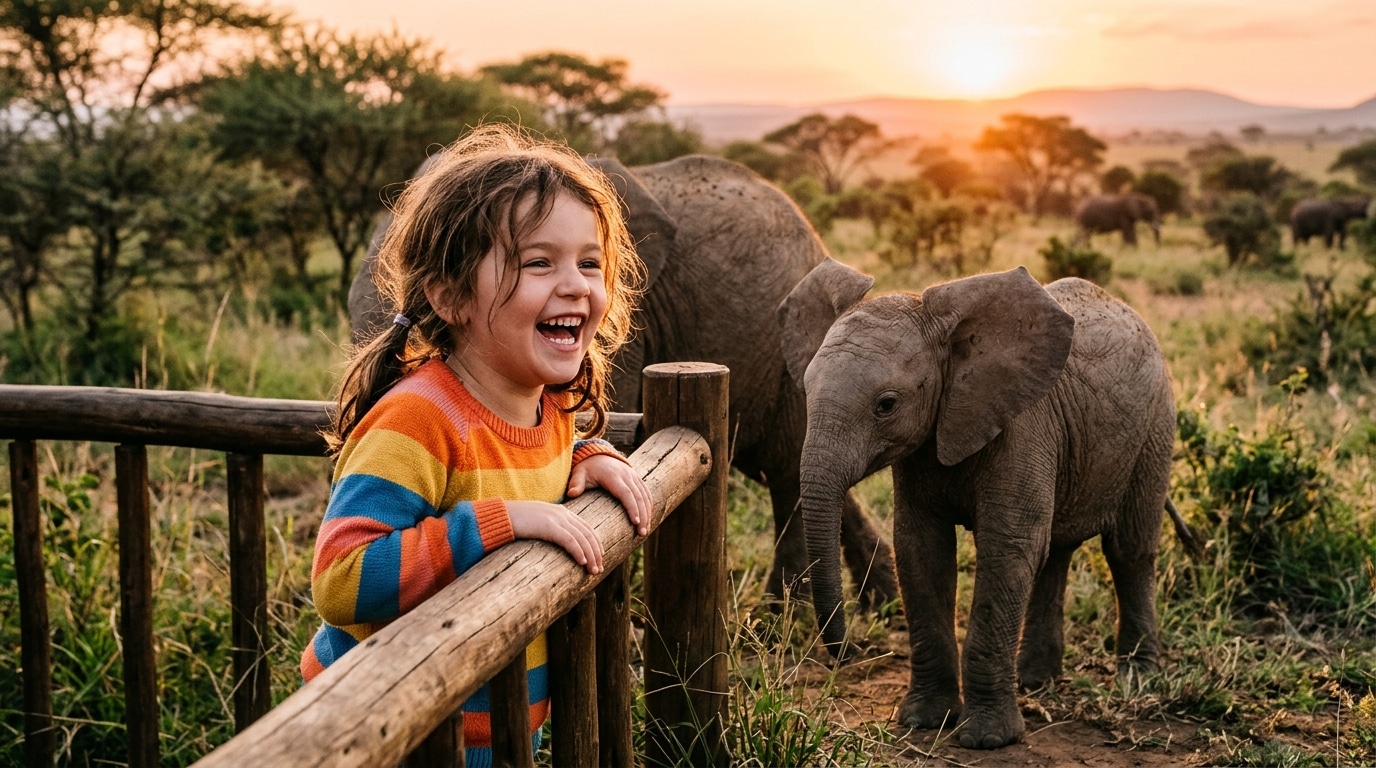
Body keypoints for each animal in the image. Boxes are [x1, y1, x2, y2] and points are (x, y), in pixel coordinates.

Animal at [779, 263, 1181, 749]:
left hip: (1156, 427)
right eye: (805, 389)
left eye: (886, 405)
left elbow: (1006, 550)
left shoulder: (1023, 427)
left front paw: (988, 739)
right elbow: (921, 551)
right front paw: (925, 721)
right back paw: (1034, 681)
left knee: (1128, 549)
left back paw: (1136, 680)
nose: (848, 654)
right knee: (1055, 552)